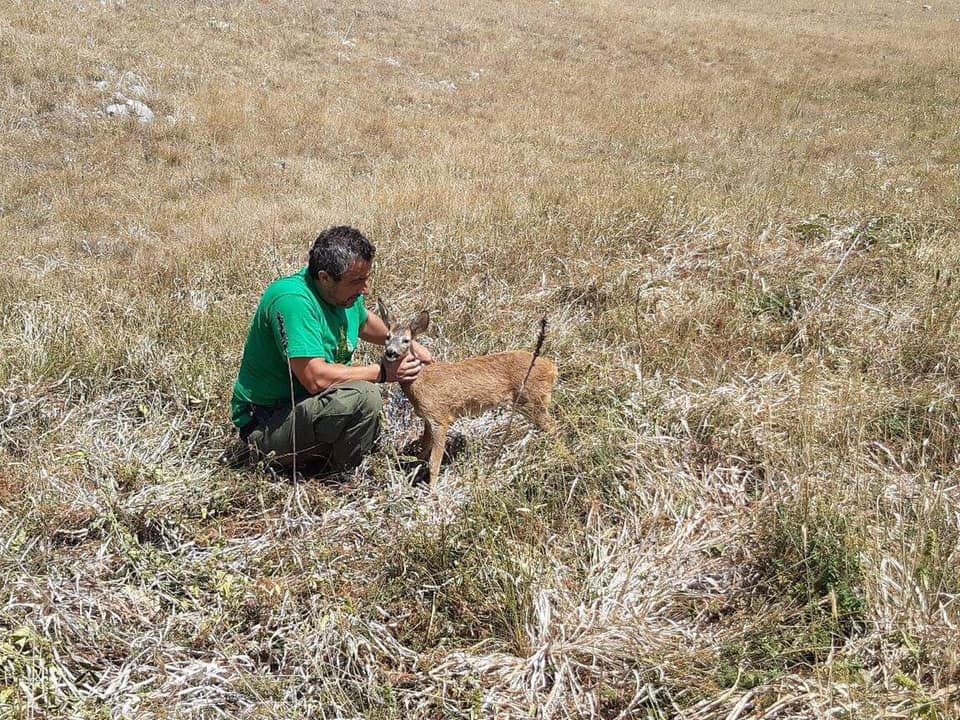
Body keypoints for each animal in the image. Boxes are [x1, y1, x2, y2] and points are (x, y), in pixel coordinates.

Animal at [382, 304, 560, 484]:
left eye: (406, 340)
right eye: (387, 337)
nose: (390, 352)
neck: (419, 381)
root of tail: (552, 368)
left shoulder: (440, 418)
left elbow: (434, 462)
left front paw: (432, 490)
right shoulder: (427, 420)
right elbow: (422, 452)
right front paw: (411, 476)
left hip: (534, 400)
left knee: (553, 426)